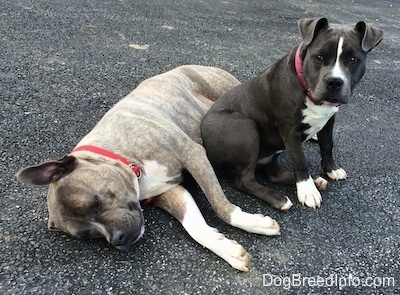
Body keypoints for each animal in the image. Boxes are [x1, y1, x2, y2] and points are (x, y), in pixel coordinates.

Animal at [16, 65, 282, 272]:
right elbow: (194, 225)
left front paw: (251, 223)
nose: (117, 239)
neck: (126, 159)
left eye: (95, 202)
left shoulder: (194, 154)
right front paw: (227, 249)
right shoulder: (171, 191)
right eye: (88, 235)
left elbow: (220, 205)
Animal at [202, 17, 382, 210]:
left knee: (273, 174)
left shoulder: (329, 120)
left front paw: (330, 169)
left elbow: (327, 145)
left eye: (353, 59)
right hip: (244, 127)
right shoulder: (290, 130)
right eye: (318, 57)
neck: (307, 89)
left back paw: (315, 180)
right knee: (244, 180)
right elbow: (300, 160)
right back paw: (279, 198)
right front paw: (307, 191)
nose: (334, 82)